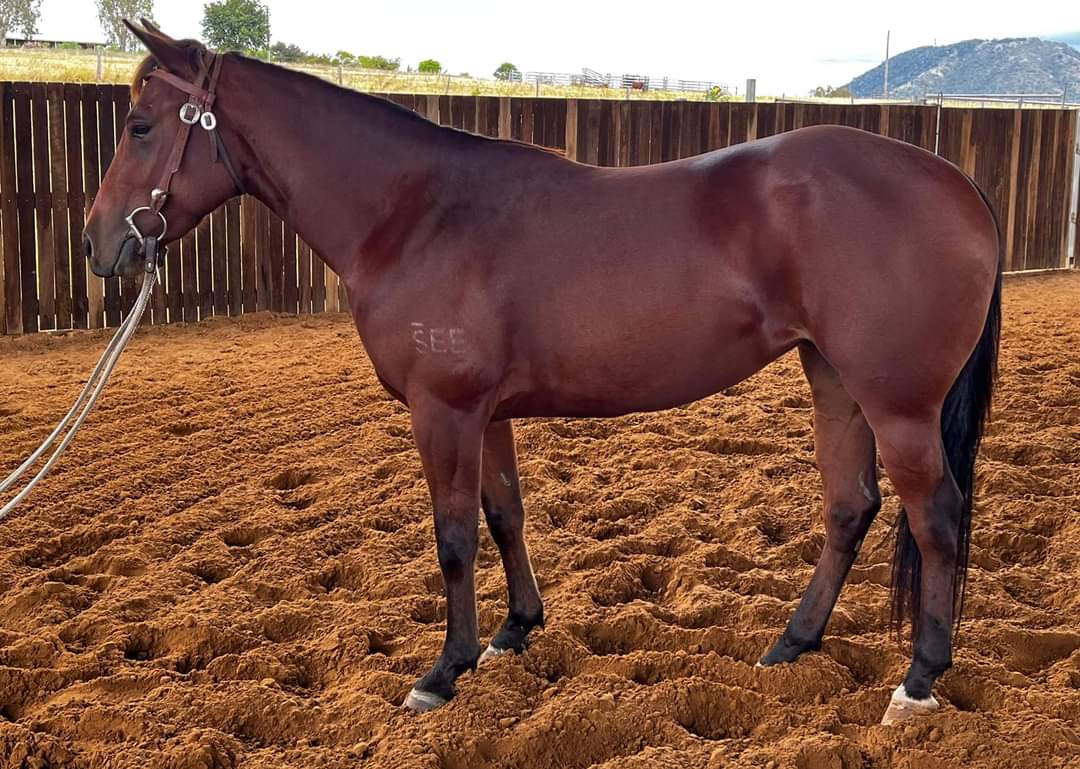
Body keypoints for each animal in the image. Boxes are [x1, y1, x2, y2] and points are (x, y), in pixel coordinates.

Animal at [83, 20, 1001, 724]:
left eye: (139, 125)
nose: (99, 245)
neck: (416, 212)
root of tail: (955, 182)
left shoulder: (443, 410)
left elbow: (453, 537)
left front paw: (442, 671)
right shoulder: (485, 412)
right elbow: (503, 514)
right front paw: (514, 630)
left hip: (898, 402)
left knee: (937, 517)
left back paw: (919, 680)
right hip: (835, 379)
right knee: (851, 506)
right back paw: (791, 644)